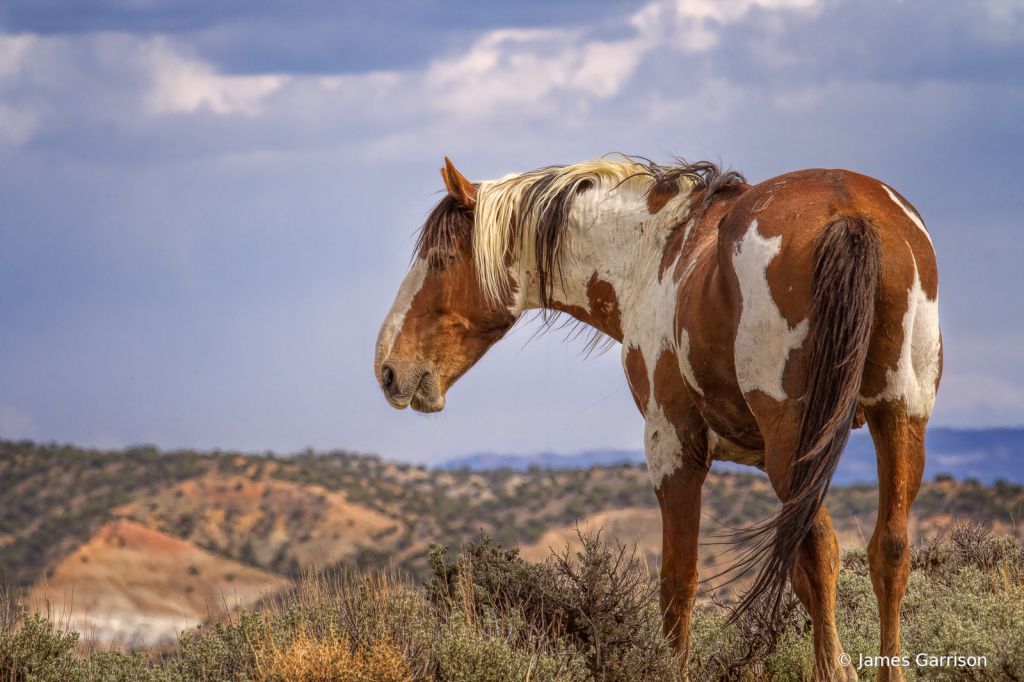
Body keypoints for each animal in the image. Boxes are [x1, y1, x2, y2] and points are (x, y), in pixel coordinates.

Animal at [372, 155, 937, 679]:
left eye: (441, 259)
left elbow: (678, 585)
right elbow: (792, 573)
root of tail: (849, 212)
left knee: (822, 549)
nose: (388, 369)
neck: (655, 254)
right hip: (899, 417)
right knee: (888, 550)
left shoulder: (673, 448)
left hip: (795, 443)